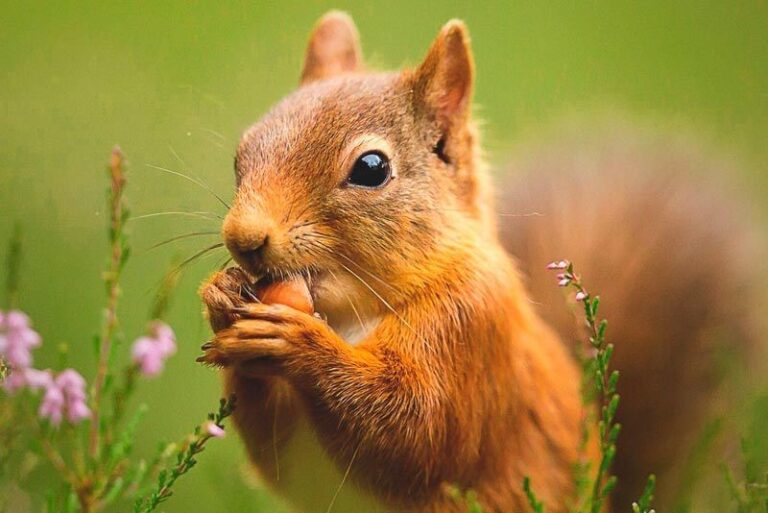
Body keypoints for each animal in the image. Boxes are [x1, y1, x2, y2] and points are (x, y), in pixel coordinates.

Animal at [199, 11, 759, 513]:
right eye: (241, 153)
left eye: (371, 168)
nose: (243, 238)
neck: (351, 313)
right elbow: (272, 449)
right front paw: (222, 299)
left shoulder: (469, 329)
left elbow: (412, 433)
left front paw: (298, 342)